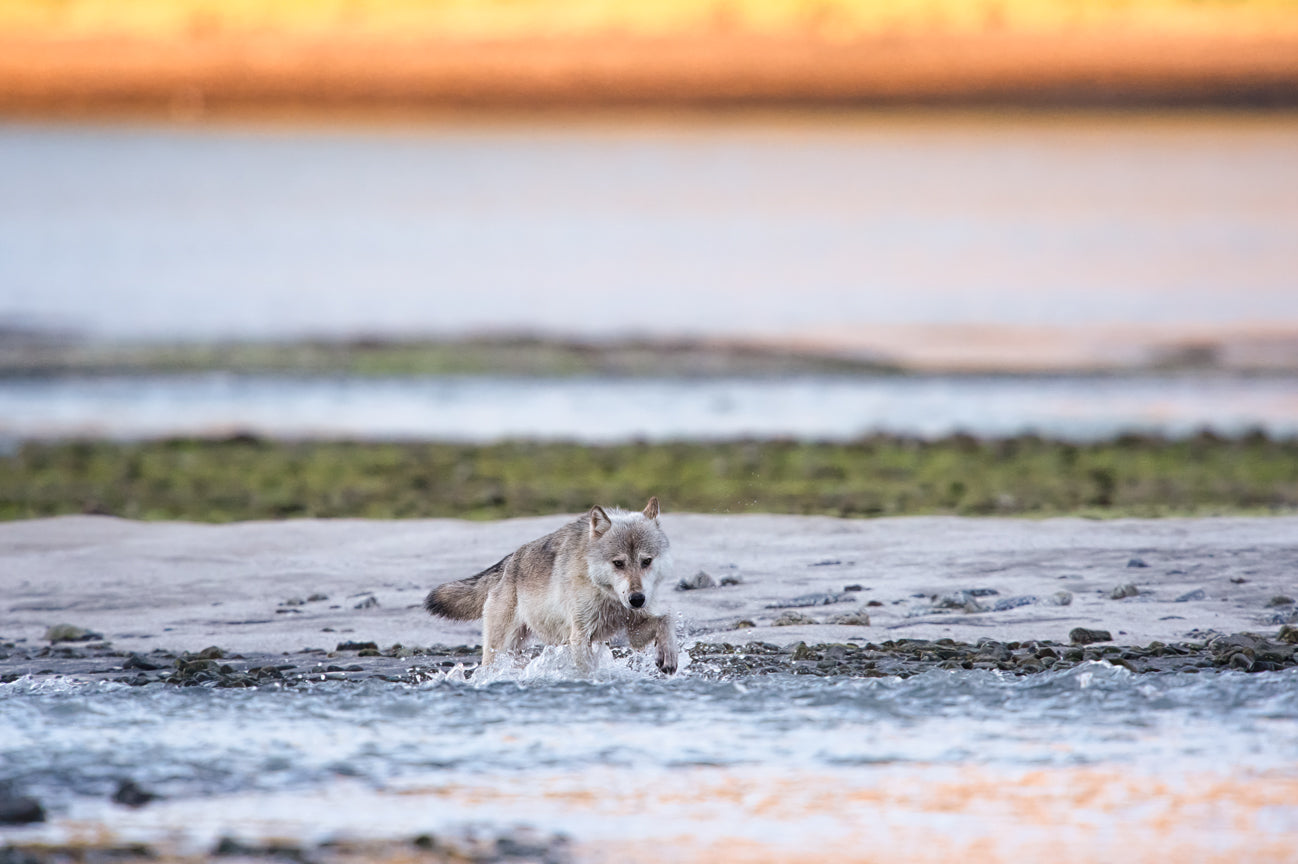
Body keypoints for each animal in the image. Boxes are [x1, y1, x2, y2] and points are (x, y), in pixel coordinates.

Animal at [425, 498, 680, 674]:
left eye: (646, 561)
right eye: (618, 563)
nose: (637, 599)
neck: (608, 597)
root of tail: (508, 563)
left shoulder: (634, 631)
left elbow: (666, 619)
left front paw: (668, 656)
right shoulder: (580, 637)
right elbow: (587, 670)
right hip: (500, 650)